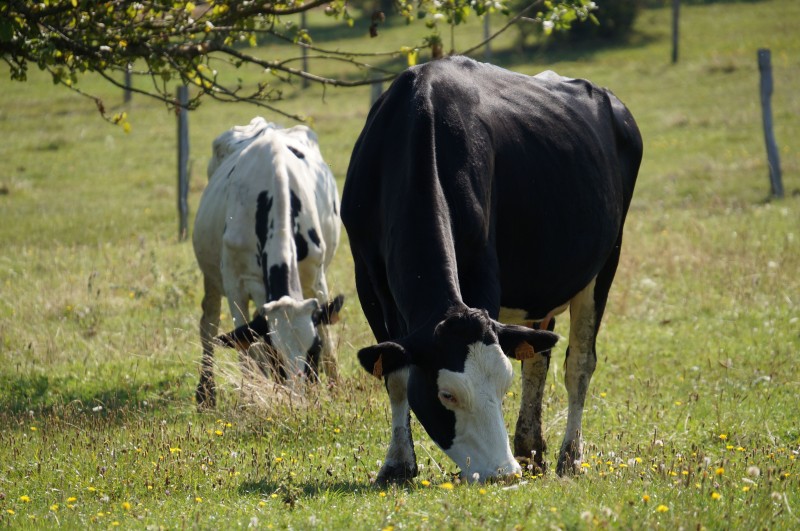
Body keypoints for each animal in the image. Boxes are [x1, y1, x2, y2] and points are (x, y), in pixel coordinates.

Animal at [193, 117, 344, 408]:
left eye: (314, 350)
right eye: (278, 355)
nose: (300, 402)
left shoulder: (315, 276)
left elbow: (330, 337)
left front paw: (334, 390)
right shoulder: (236, 285)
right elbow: (244, 346)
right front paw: (250, 397)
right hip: (212, 277)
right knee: (210, 323)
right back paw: (206, 392)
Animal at [340, 56, 642, 484]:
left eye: (502, 386)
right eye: (446, 394)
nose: (504, 474)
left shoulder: (482, 263)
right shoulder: (366, 277)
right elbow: (395, 372)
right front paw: (397, 465)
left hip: (607, 260)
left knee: (579, 363)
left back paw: (569, 457)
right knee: (538, 357)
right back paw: (531, 451)